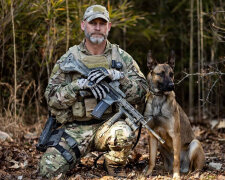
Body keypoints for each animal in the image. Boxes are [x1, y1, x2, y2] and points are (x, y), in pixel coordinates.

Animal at [143, 50, 205, 179]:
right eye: (161, 74)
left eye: (171, 74)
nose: (172, 85)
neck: (159, 99)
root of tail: (185, 168)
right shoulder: (152, 136)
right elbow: (151, 159)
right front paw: (148, 173)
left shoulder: (175, 135)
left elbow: (176, 160)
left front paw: (176, 176)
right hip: (161, 146)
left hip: (195, 144)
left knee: (196, 168)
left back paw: (192, 174)